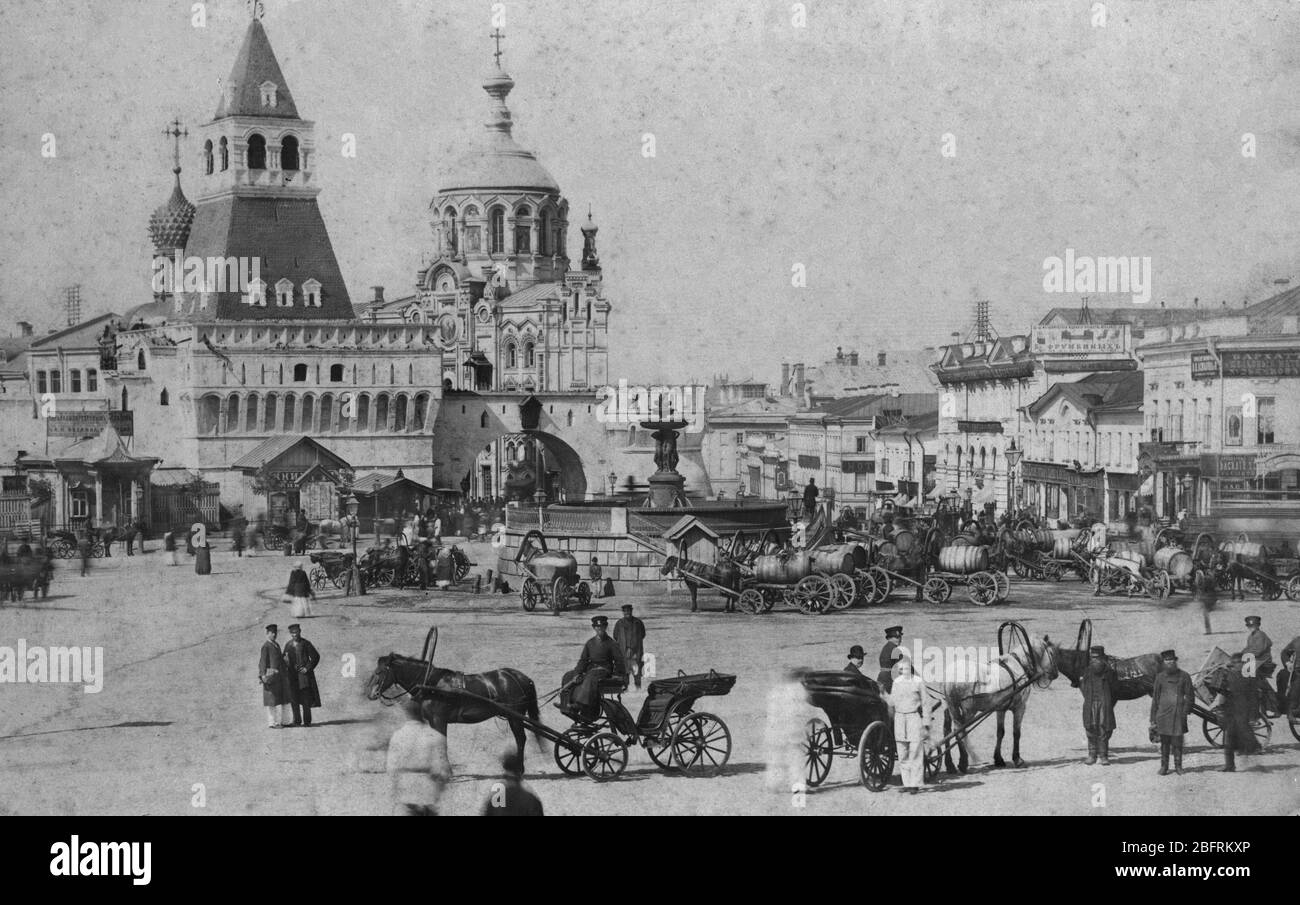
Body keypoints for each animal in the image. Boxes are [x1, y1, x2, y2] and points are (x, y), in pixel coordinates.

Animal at [364, 626, 546, 774]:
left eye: (380, 672)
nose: (370, 693)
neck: (431, 683)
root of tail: (522, 678)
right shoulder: (432, 721)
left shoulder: (439, 720)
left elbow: (442, 744)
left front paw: (447, 772)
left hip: (515, 717)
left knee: (521, 739)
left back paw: (519, 769)